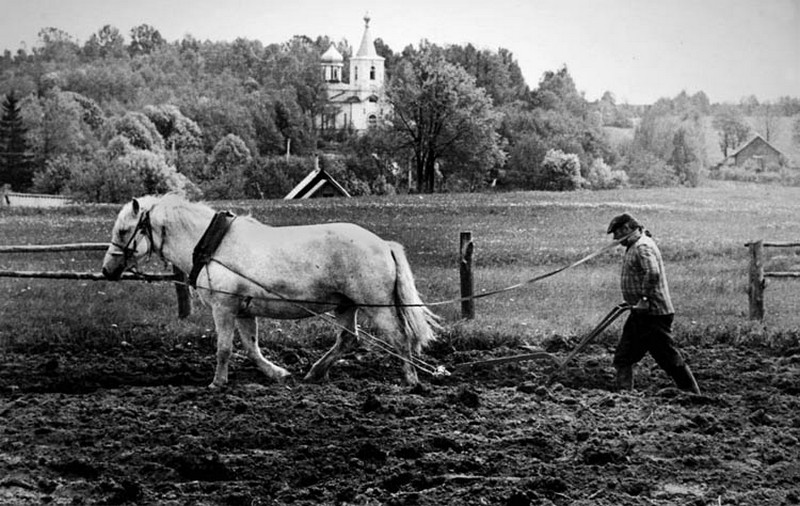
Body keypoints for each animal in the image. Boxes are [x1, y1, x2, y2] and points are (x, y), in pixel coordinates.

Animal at [101, 194, 440, 388]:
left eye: (123, 230)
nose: (107, 270)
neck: (213, 246)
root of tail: (384, 244)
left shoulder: (223, 308)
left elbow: (224, 348)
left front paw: (217, 384)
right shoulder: (242, 311)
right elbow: (251, 348)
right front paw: (276, 373)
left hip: (375, 305)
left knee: (399, 339)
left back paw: (411, 380)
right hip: (346, 305)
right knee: (347, 340)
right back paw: (315, 372)